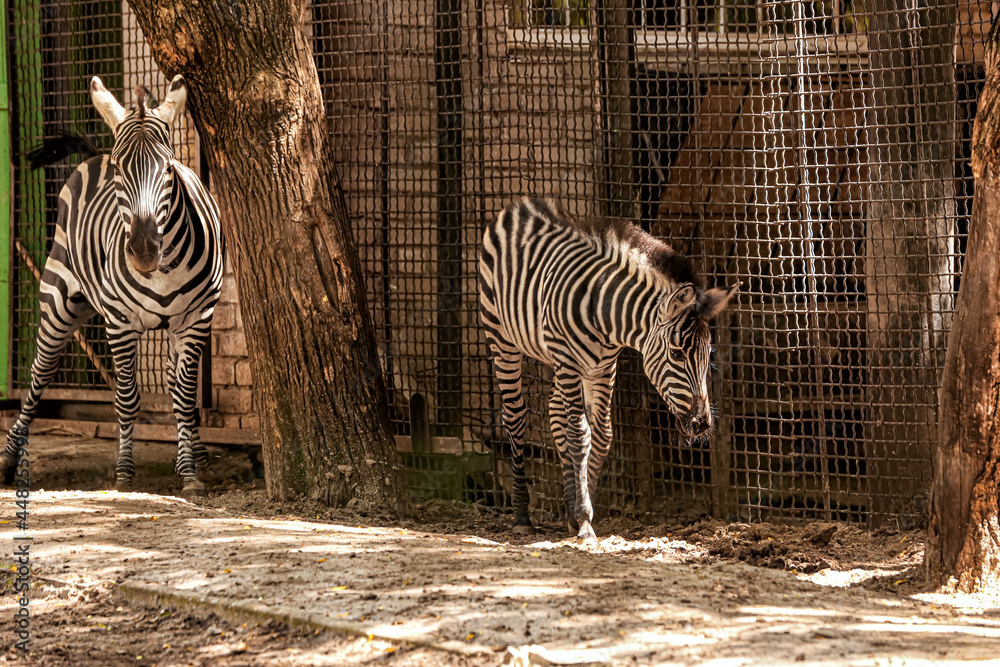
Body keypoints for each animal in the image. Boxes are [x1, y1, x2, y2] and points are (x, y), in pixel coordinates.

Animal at [1, 75, 225, 498]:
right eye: (120, 170)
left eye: (168, 167)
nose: (143, 251)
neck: (163, 269)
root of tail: (95, 154)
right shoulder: (120, 324)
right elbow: (126, 398)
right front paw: (123, 472)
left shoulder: (196, 318)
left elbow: (185, 397)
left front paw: (189, 472)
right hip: (57, 301)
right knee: (38, 376)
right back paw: (8, 461)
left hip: (172, 324)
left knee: (175, 382)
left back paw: (200, 456)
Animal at [480, 196, 740, 540]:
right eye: (676, 353)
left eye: (708, 357)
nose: (701, 424)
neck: (606, 316)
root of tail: (521, 206)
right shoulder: (570, 362)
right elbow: (579, 434)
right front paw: (583, 516)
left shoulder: (603, 367)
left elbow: (601, 436)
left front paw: (581, 507)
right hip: (502, 339)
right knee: (515, 416)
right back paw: (522, 513)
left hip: (558, 359)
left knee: (555, 414)